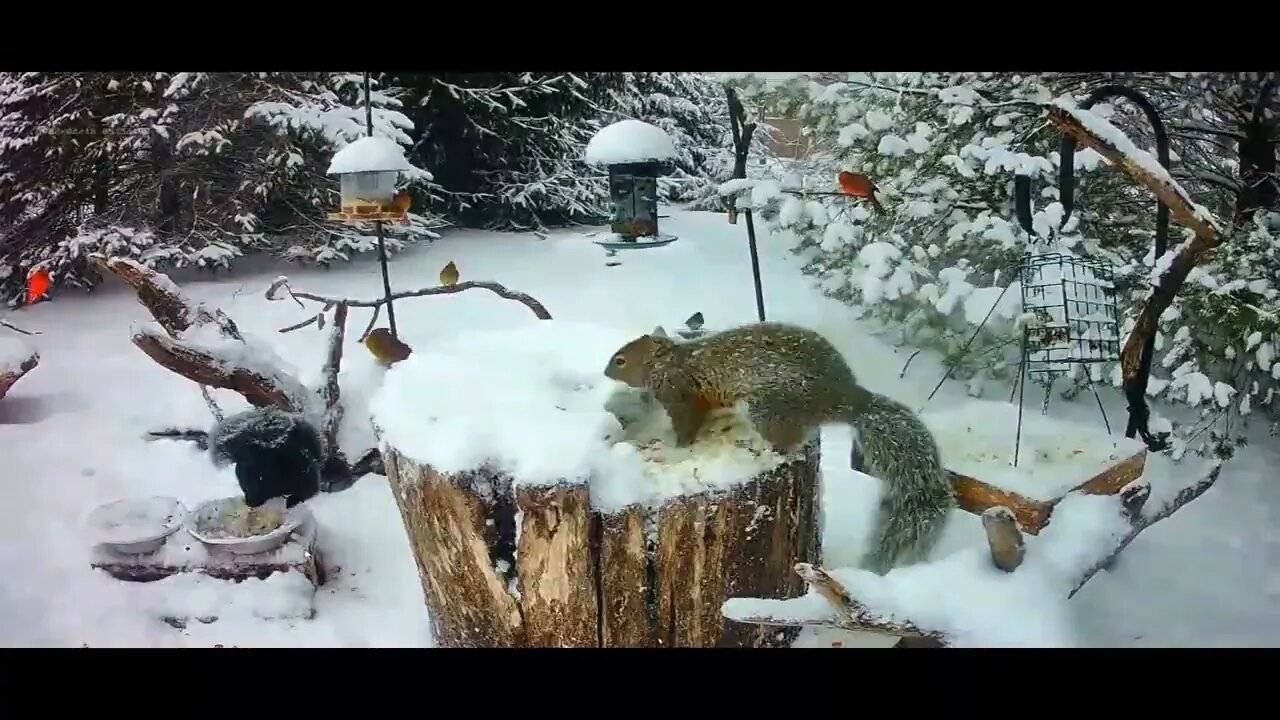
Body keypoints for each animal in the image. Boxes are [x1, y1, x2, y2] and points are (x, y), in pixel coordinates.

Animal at [604, 319, 957, 571]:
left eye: (620, 360)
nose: (606, 371)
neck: (668, 361)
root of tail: (847, 400)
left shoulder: (681, 396)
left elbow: (686, 429)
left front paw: (671, 449)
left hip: (768, 410)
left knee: (786, 444)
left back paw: (762, 447)